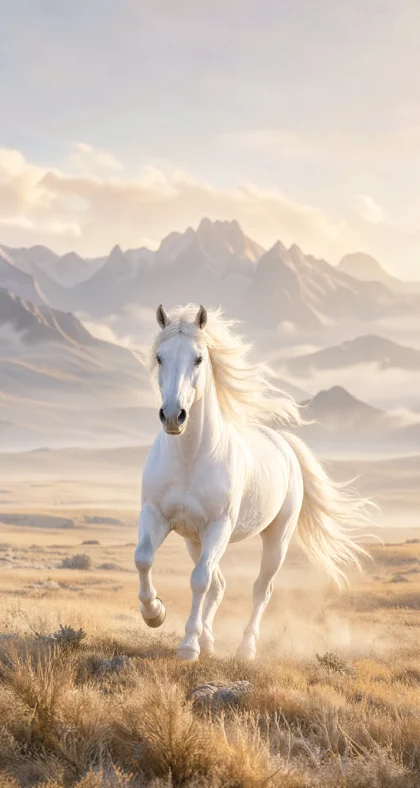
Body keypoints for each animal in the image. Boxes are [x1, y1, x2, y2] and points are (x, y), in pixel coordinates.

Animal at [134, 303, 371, 661]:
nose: (174, 416)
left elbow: (199, 581)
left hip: (276, 539)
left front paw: (188, 646)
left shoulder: (218, 526)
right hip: (194, 540)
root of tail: (284, 444)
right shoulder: (157, 516)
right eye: (160, 357)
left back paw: (245, 649)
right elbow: (144, 559)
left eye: (198, 359)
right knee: (219, 585)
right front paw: (154, 614)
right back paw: (209, 641)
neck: (190, 458)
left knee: (260, 588)